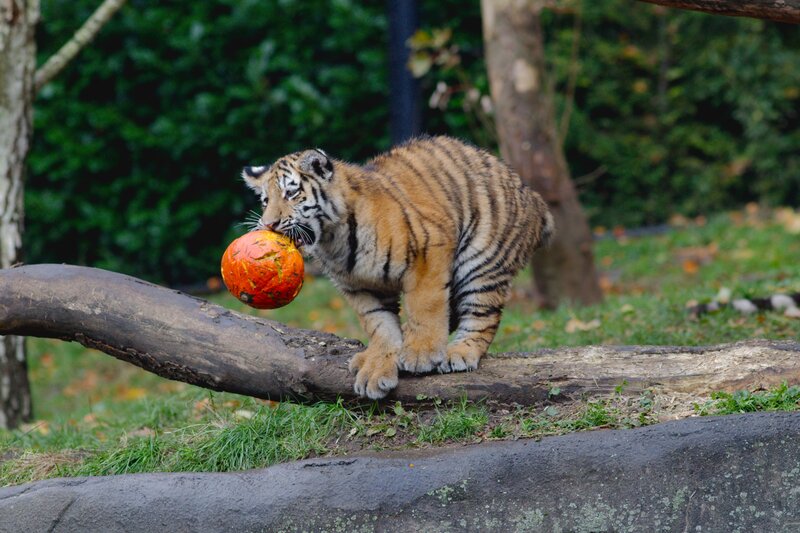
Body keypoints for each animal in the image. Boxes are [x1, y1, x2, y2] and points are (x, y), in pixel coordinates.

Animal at [242, 135, 553, 399]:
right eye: (266, 200)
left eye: (291, 193)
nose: (268, 224)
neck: (333, 241)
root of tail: (534, 198)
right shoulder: (359, 287)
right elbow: (380, 325)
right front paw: (377, 368)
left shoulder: (429, 249)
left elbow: (425, 306)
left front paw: (420, 355)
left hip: (481, 262)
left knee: (483, 315)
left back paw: (459, 352)